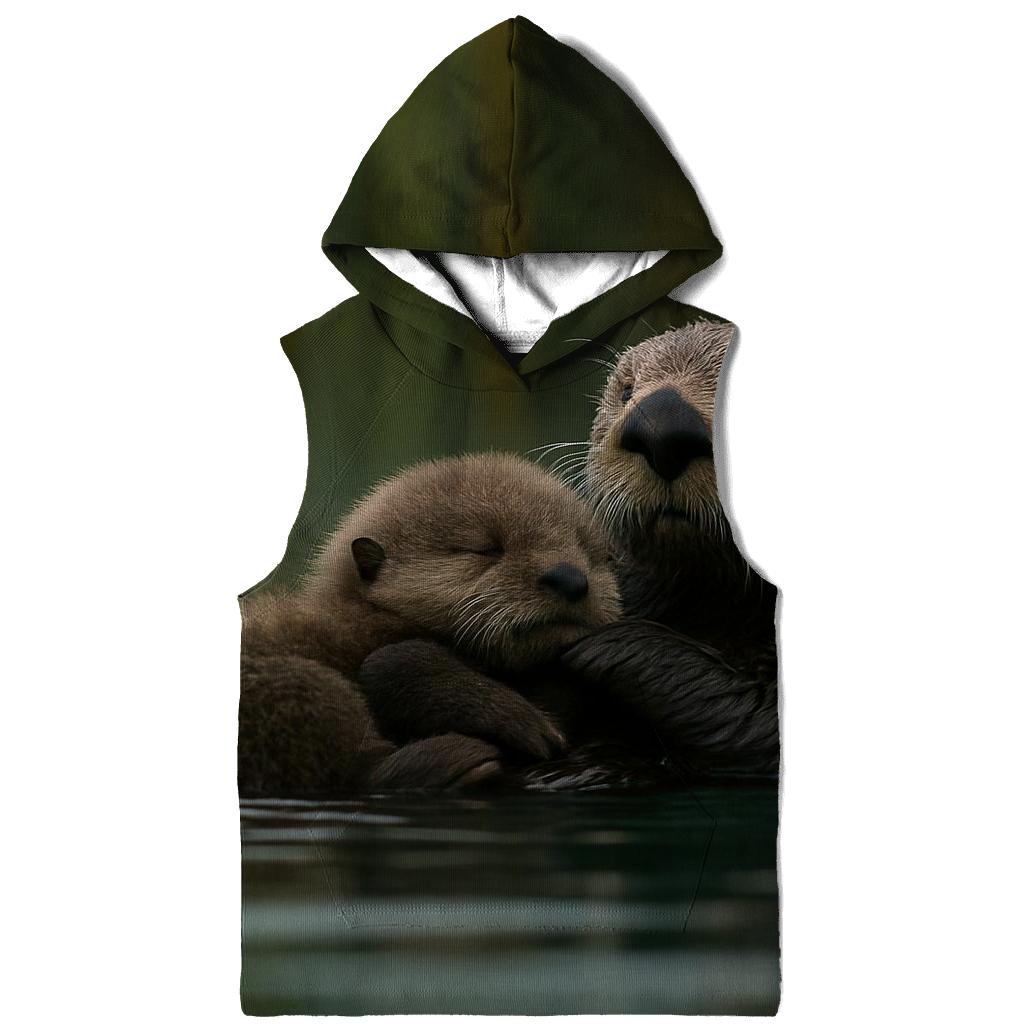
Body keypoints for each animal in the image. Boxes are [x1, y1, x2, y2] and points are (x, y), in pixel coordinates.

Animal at [239, 452, 621, 796]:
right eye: (486, 549)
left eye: (593, 553)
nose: (569, 577)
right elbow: (392, 663)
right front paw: (531, 726)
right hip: (301, 686)